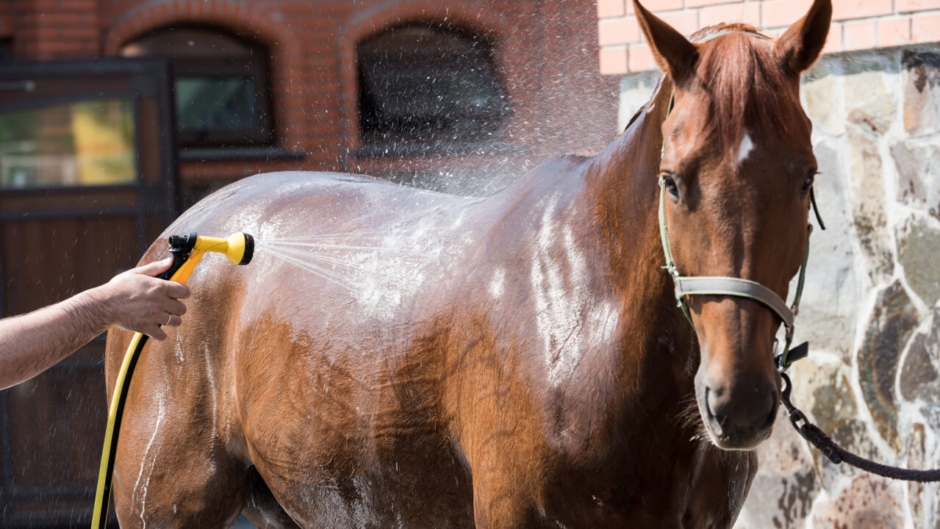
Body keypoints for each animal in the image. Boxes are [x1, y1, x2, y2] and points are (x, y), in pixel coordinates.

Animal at [104, 0, 832, 526]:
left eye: (805, 178)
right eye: (673, 182)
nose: (738, 400)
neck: (586, 323)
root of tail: (179, 243)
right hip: (166, 505)